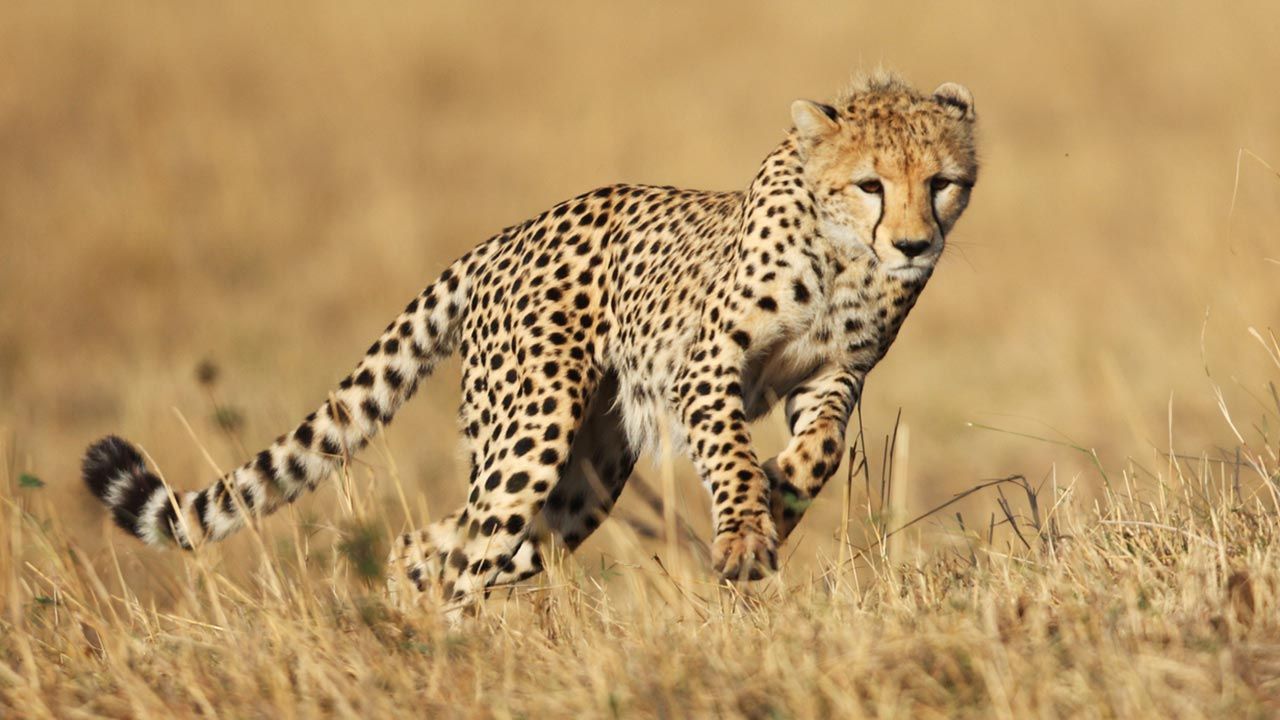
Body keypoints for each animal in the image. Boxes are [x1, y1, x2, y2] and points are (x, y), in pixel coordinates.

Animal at [82, 71, 979, 611]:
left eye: (941, 183)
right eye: (870, 184)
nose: (913, 244)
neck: (845, 258)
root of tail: (501, 238)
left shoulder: (833, 374)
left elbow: (819, 449)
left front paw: (777, 495)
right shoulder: (707, 364)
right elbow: (727, 450)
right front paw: (744, 530)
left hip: (584, 478)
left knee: (434, 545)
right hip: (533, 432)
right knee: (466, 554)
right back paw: (448, 657)